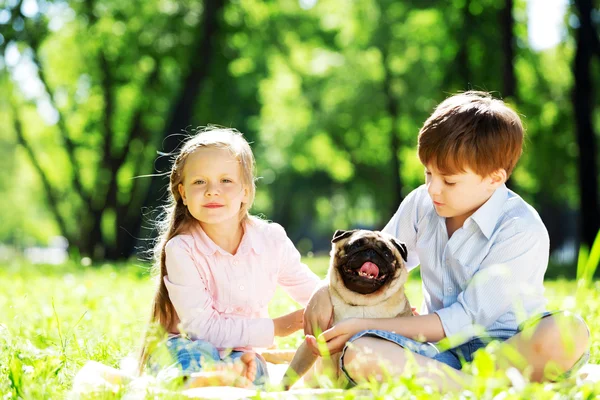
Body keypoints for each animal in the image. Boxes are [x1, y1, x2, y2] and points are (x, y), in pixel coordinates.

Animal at [284, 230, 410, 390]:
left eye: (387, 253)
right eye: (355, 245)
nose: (371, 251)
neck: (361, 303)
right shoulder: (310, 343)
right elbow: (292, 371)